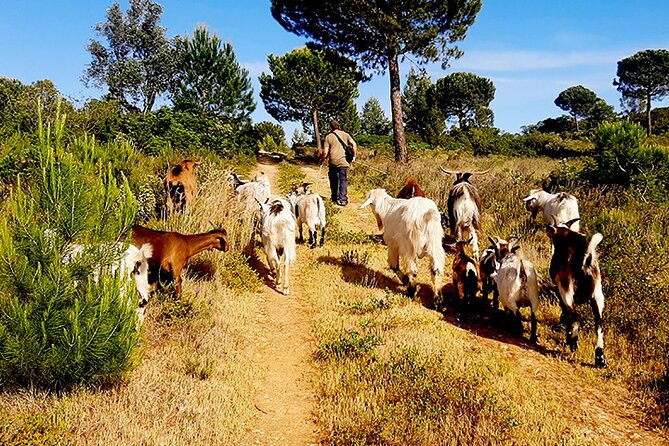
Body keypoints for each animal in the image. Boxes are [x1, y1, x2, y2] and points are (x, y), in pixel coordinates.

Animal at [546, 218, 606, 368]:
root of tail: (585, 260)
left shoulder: (560, 288)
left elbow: (565, 311)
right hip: (598, 295)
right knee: (599, 323)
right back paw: (600, 359)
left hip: (567, 289)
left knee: (575, 316)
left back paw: (573, 343)